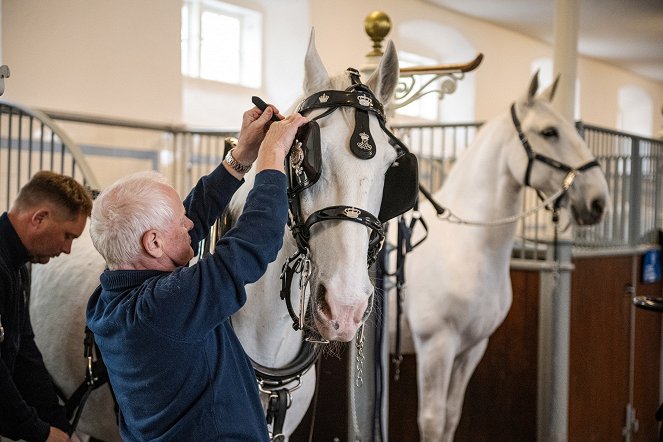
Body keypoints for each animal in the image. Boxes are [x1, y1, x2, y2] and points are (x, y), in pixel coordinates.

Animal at [400, 74, 612, 440]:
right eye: (549, 132)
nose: (598, 203)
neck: (467, 245)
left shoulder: (471, 348)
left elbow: (450, 417)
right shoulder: (435, 346)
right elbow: (431, 421)